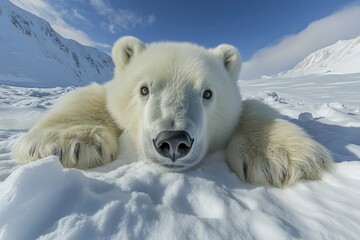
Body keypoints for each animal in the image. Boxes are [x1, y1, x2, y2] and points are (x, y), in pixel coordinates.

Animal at [12, 36, 334, 188]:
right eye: (144, 89)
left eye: (207, 93)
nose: (173, 141)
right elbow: (94, 97)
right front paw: (67, 142)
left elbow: (250, 110)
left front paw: (279, 158)